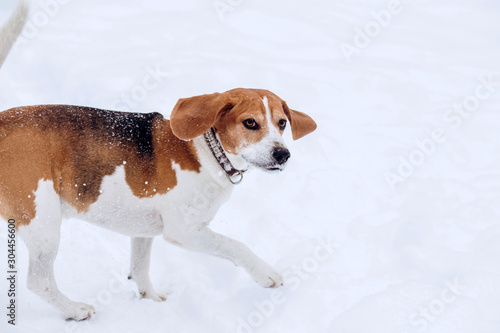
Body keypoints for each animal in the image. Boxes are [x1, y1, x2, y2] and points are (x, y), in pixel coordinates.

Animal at [0, 1, 316, 322]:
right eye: (250, 123)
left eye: (281, 123)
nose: (282, 154)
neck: (207, 151)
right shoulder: (185, 231)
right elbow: (235, 245)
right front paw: (265, 273)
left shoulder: (142, 231)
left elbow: (140, 267)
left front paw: (151, 300)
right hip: (43, 224)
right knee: (38, 281)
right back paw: (75, 309)